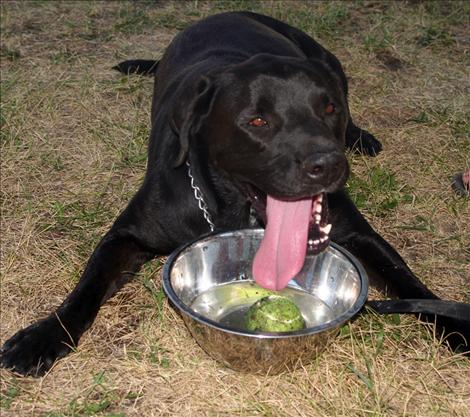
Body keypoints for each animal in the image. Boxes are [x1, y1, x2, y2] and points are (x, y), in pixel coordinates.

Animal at [1, 11, 468, 376]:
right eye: (257, 121)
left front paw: (459, 325)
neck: (237, 210)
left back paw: (362, 137)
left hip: (329, 59)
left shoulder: (357, 235)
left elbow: (410, 283)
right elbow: (87, 287)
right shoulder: (126, 236)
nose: (328, 164)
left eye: (328, 108)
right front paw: (42, 336)